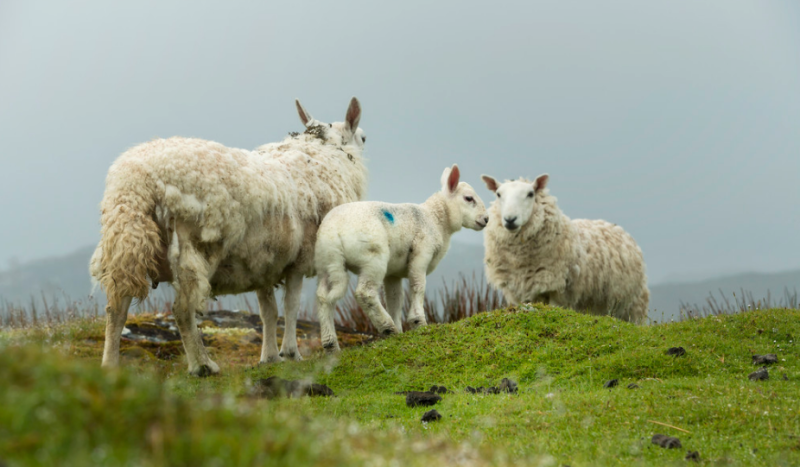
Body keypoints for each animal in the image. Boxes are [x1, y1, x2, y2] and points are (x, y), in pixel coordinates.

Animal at [90, 98, 368, 376]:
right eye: (364, 138)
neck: (323, 155)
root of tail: (137, 183)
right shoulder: (299, 259)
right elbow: (291, 306)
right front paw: (290, 353)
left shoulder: (262, 262)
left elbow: (269, 311)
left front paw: (269, 357)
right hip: (194, 247)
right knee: (182, 310)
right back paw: (202, 365)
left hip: (126, 241)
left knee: (116, 307)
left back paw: (109, 366)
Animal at [312, 165, 488, 352]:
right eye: (468, 198)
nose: (486, 219)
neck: (435, 219)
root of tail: (334, 231)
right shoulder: (421, 253)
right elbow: (418, 286)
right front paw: (418, 322)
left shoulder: (393, 273)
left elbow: (395, 299)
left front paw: (401, 332)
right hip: (373, 259)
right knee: (365, 293)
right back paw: (387, 327)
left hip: (325, 263)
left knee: (323, 297)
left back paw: (331, 344)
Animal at [478, 174, 648, 324]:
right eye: (498, 194)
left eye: (530, 194)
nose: (510, 219)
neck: (520, 261)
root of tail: (616, 227)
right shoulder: (517, 292)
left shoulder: (558, 291)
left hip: (632, 306)